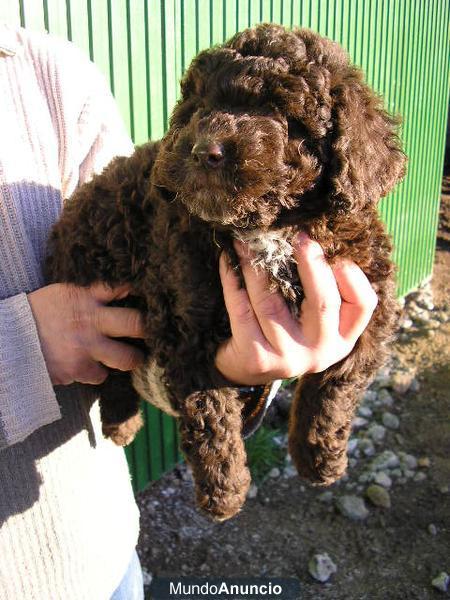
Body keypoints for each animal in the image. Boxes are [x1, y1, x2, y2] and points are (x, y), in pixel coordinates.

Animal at [45, 24, 404, 520]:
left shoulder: (371, 303)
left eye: (282, 113)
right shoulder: (183, 326)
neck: (269, 228)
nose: (204, 151)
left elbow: (337, 385)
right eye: (200, 106)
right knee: (110, 366)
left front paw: (318, 459)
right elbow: (210, 415)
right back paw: (122, 422)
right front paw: (224, 492)